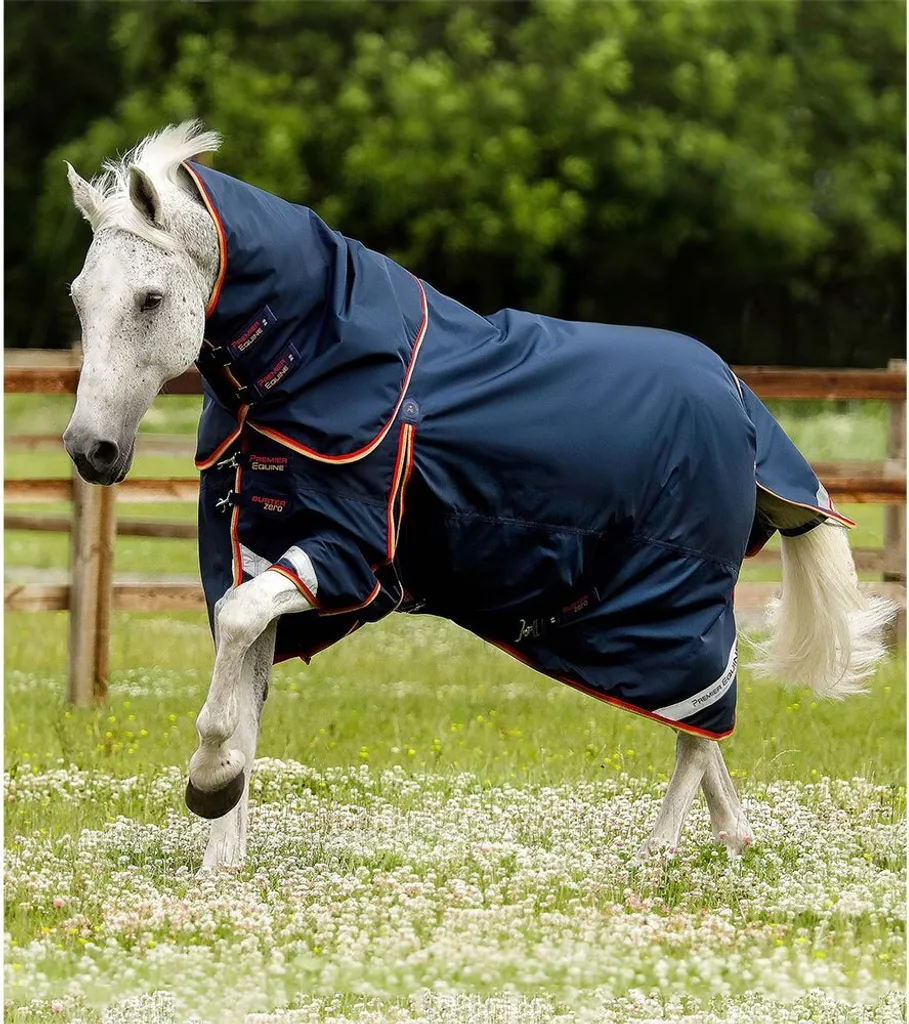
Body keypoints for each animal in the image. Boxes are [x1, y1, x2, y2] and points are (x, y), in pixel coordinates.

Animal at [63, 123, 889, 871]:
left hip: (674, 606)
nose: (89, 448)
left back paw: (655, 848)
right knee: (702, 727)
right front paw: (221, 855)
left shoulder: (345, 556)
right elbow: (242, 687)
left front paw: (208, 784)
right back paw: (730, 836)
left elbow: (236, 638)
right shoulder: (262, 550)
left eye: (150, 298)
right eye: (79, 300)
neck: (315, 365)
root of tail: (739, 399)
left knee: (698, 724)